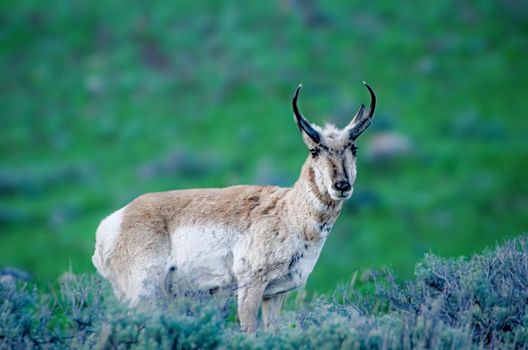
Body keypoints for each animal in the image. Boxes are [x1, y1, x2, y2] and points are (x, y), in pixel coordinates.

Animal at [92, 82, 376, 330]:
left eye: (354, 148)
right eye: (314, 150)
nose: (342, 185)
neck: (288, 212)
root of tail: (111, 223)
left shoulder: (275, 294)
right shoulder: (250, 285)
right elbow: (249, 330)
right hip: (142, 292)